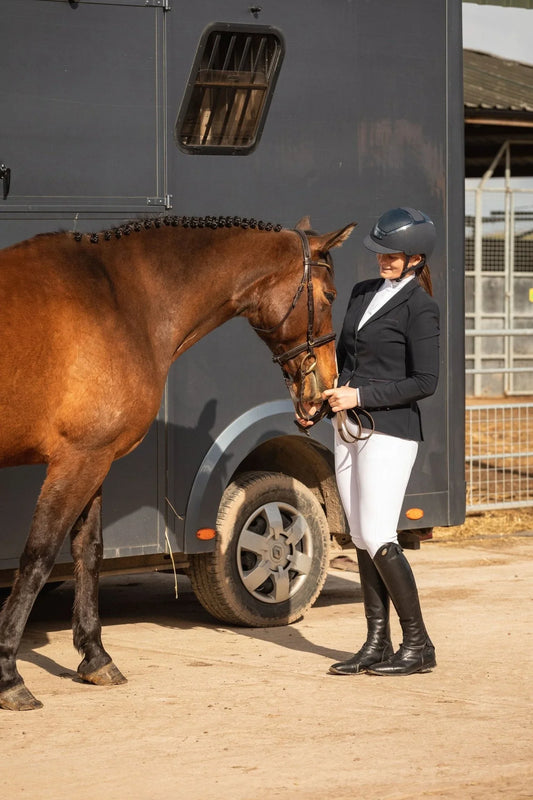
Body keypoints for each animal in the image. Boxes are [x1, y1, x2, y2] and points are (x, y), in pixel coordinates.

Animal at [0, 213, 355, 710]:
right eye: (329, 296)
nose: (324, 386)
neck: (118, 299)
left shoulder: (94, 459)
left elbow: (88, 552)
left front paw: (95, 657)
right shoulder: (78, 459)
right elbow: (38, 556)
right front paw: (9, 676)